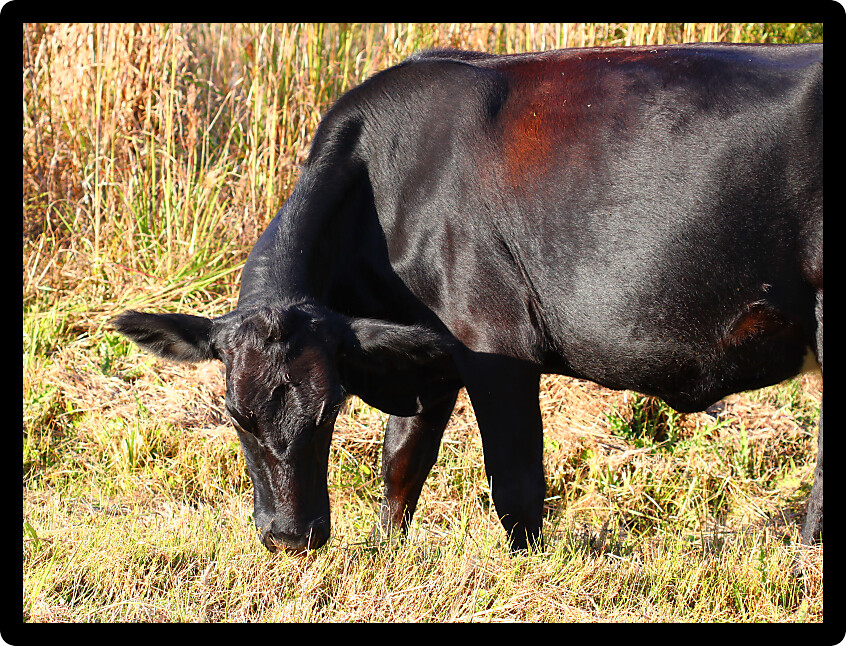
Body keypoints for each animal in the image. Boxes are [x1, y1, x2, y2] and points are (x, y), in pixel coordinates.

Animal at [114, 43, 822, 554]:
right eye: (236, 416)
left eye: (329, 409)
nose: (290, 537)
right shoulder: (421, 349)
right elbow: (403, 462)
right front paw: (385, 552)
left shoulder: (492, 342)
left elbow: (515, 482)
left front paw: (528, 570)